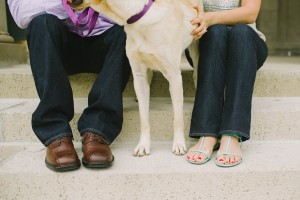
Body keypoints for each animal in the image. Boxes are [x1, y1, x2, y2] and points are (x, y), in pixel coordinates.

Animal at [74, 0, 203, 156]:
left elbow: (177, 118)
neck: (138, 19)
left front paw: (179, 144)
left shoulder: (174, 77)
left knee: (196, 71)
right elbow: (144, 118)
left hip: (195, 45)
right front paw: (143, 145)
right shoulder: (139, 76)